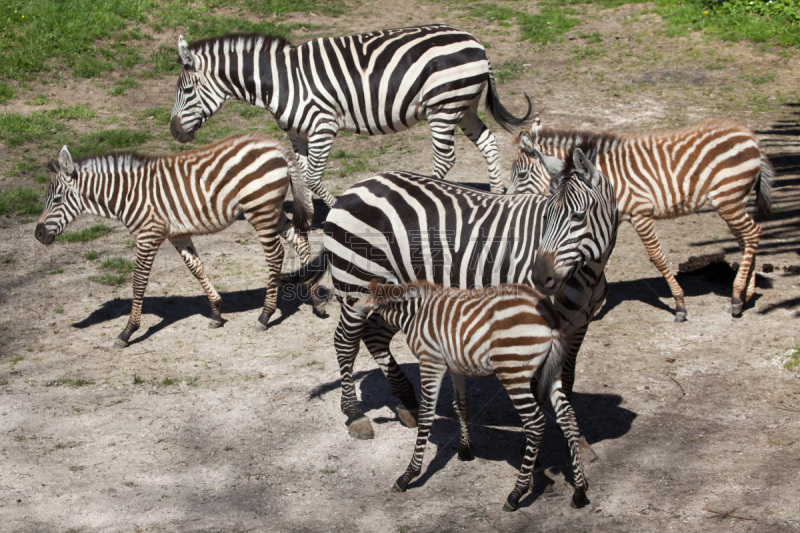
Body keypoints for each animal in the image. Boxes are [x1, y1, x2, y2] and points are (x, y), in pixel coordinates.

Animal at [35, 133, 316, 350]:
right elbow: (196, 268)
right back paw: (314, 297)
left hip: (260, 208)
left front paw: (127, 331)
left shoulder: (148, 235)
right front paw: (216, 311)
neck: (128, 194)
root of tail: (275, 144)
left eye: (57, 199)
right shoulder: (177, 234)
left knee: (276, 255)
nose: (37, 234)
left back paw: (265, 315)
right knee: (299, 239)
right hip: (271, 209)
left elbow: (138, 281)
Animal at [169, 26, 532, 207]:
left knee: (445, 159)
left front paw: (333, 210)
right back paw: (496, 195)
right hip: (463, 105)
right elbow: (301, 181)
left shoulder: (322, 127)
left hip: (443, 106)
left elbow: (313, 179)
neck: (282, 82)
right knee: (488, 142)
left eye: (186, 90)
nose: (174, 132)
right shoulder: (297, 135)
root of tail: (475, 41)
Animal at [282, 147, 620, 462]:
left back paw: (409, 405)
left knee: (374, 336)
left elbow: (567, 380)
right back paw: (355, 415)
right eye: (546, 218)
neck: (588, 275)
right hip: (355, 286)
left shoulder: (577, 327)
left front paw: (577, 442)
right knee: (345, 342)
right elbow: (541, 383)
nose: (539, 278)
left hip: (389, 291)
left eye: (578, 217)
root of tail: (355, 187)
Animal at [354, 278, 588, 512]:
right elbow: (460, 404)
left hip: (514, 372)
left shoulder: (431, 361)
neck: (415, 313)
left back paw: (516, 493)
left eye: (354, 298)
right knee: (568, 417)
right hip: (553, 370)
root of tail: (548, 313)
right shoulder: (456, 366)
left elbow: (426, 414)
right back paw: (579, 490)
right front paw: (465, 450)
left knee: (536, 422)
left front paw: (408, 475)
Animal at [512, 119, 776, 320]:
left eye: (521, 174)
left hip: (728, 199)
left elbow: (656, 256)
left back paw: (737, 297)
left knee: (753, 233)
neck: (609, 176)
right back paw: (746, 295)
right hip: (733, 200)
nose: (507, 196)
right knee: (745, 239)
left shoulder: (640, 214)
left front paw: (679, 304)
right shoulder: (608, 219)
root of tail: (751, 136)